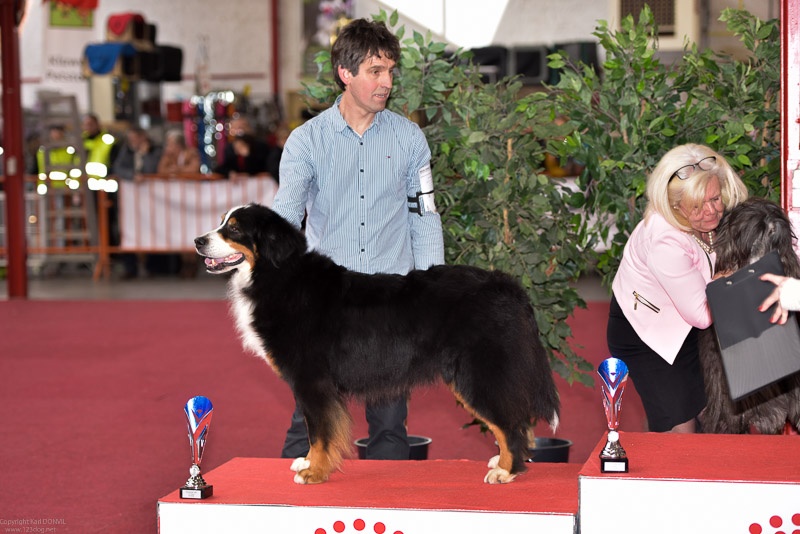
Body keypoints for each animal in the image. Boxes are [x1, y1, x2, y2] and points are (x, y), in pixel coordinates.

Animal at [195, 204, 560, 486]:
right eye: (223, 222)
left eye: (234, 228)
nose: (198, 241)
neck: (279, 276)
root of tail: (509, 286)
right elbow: (314, 430)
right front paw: (307, 462)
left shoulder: (313, 381)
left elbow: (321, 431)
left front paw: (314, 472)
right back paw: (503, 462)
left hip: (477, 374)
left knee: (510, 422)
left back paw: (507, 470)